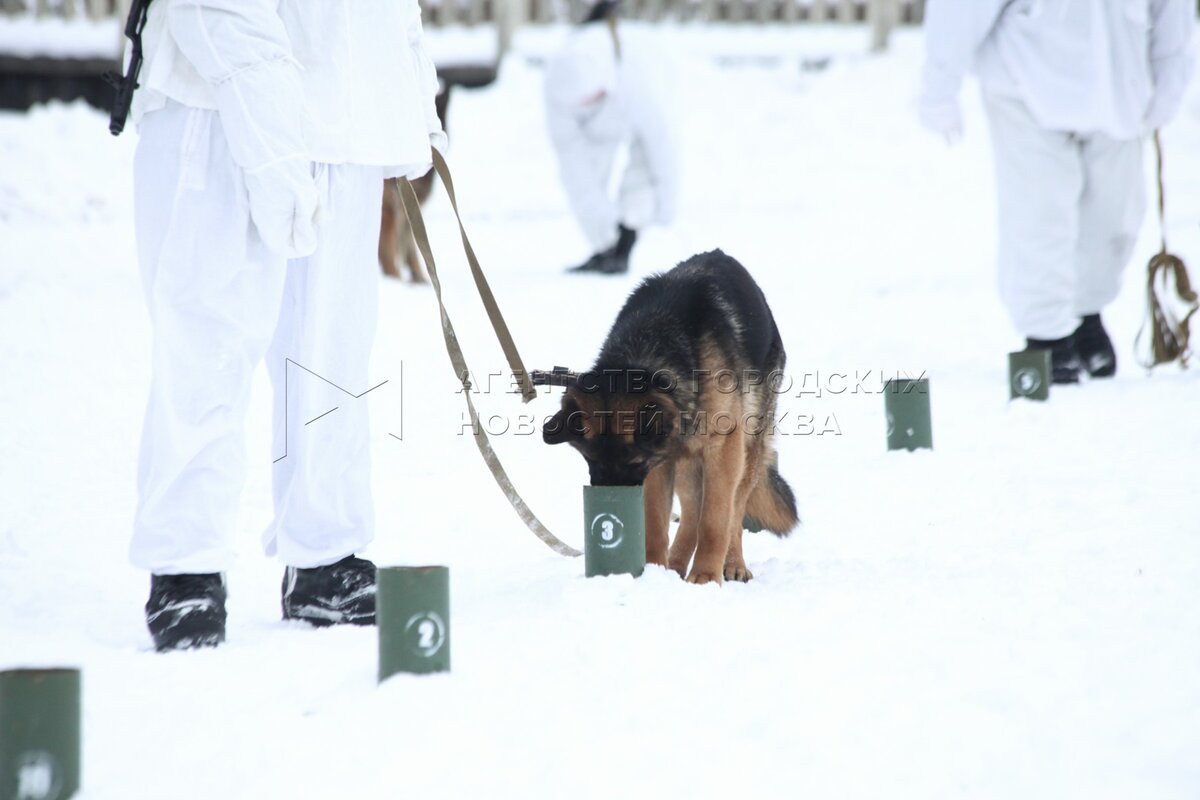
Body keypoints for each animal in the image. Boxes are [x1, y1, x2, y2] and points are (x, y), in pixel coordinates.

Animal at [543, 250, 799, 584]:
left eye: (632, 463)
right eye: (591, 460)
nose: (611, 498)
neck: (651, 352)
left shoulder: (720, 449)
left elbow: (716, 519)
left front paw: (706, 576)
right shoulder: (659, 461)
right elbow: (655, 523)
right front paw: (654, 570)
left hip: (745, 450)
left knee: (733, 510)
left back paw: (732, 564)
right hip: (687, 462)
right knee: (690, 516)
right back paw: (675, 566)